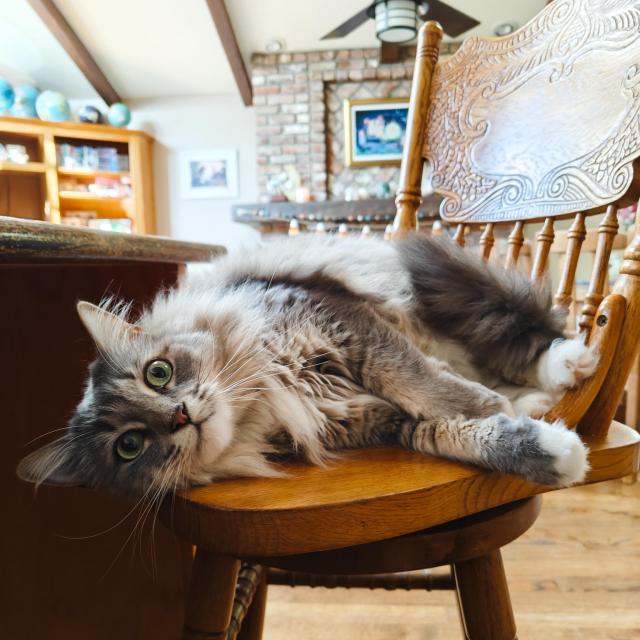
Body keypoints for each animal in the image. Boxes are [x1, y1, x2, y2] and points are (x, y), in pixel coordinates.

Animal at [18, 232, 600, 498]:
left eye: (157, 373)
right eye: (130, 446)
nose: (180, 416)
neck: (268, 398)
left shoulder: (342, 322)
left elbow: (418, 380)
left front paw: (490, 407)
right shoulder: (376, 423)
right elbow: (446, 432)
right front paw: (547, 450)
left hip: (450, 297)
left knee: (521, 339)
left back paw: (564, 365)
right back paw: (539, 403)